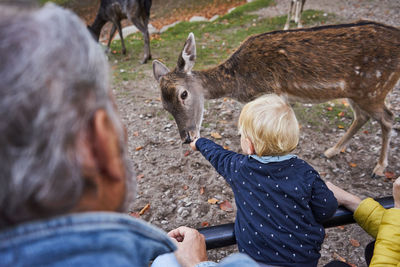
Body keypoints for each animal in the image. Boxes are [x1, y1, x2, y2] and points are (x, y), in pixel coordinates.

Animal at [152, 21, 400, 179]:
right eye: (164, 106)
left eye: (183, 94)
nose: (187, 137)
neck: (237, 82)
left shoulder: (271, 92)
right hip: (355, 92)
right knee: (362, 116)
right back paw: (331, 151)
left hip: (373, 88)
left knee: (388, 117)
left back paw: (379, 169)